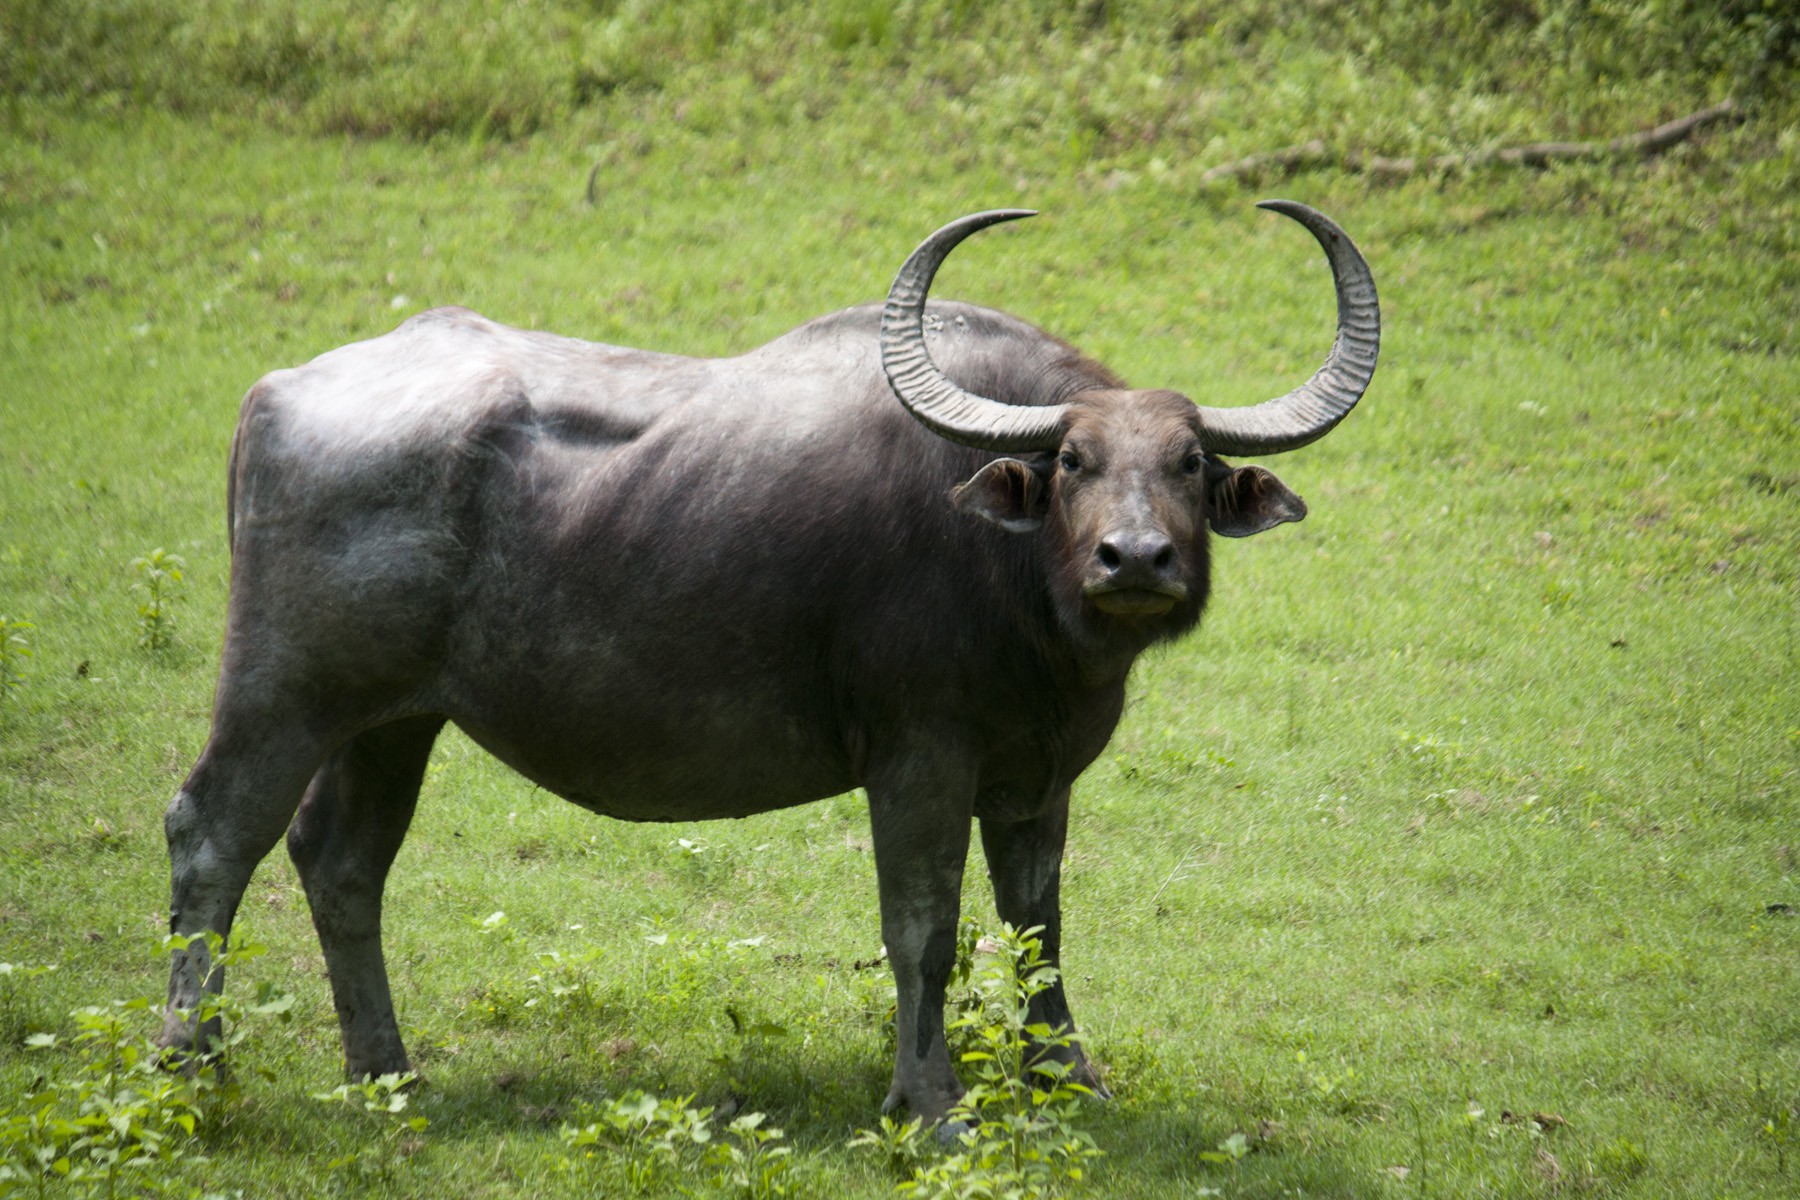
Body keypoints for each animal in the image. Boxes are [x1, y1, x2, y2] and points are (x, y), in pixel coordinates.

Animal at [162, 201, 1382, 1122]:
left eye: (1188, 463)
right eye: (1074, 460)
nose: (1136, 559)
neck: (1010, 573)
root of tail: (273, 394)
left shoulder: (1035, 782)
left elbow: (1038, 928)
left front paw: (1062, 1076)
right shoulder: (918, 761)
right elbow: (922, 929)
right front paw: (927, 1103)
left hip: (391, 720)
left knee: (341, 859)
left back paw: (385, 1073)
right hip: (283, 695)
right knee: (212, 836)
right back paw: (191, 1073)